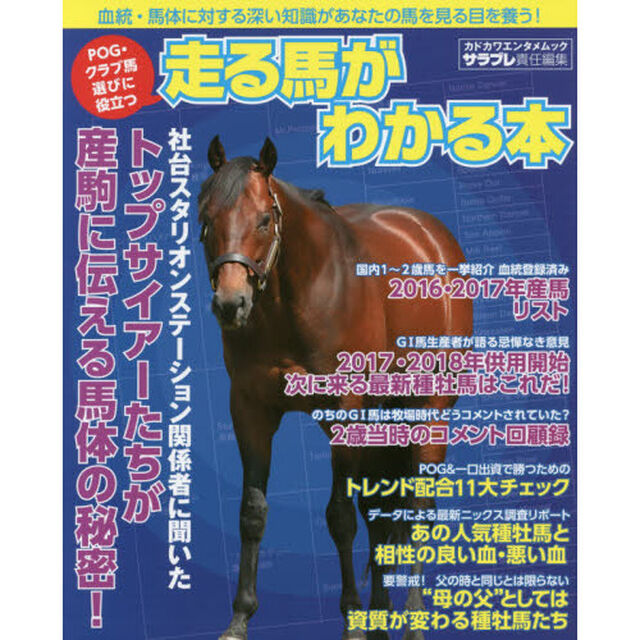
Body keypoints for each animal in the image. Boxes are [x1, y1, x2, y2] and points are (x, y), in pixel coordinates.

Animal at [197, 136, 473, 640]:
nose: (231, 303)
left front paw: (352, 621)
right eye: (206, 219)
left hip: (430, 407)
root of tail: (430, 236)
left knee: (419, 508)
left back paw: (412, 619)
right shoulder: (249, 410)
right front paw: (240, 618)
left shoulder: (345, 410)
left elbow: (340, 517)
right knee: (381, 509)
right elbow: (252, 511)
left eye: (263, 219)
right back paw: (382, 617)